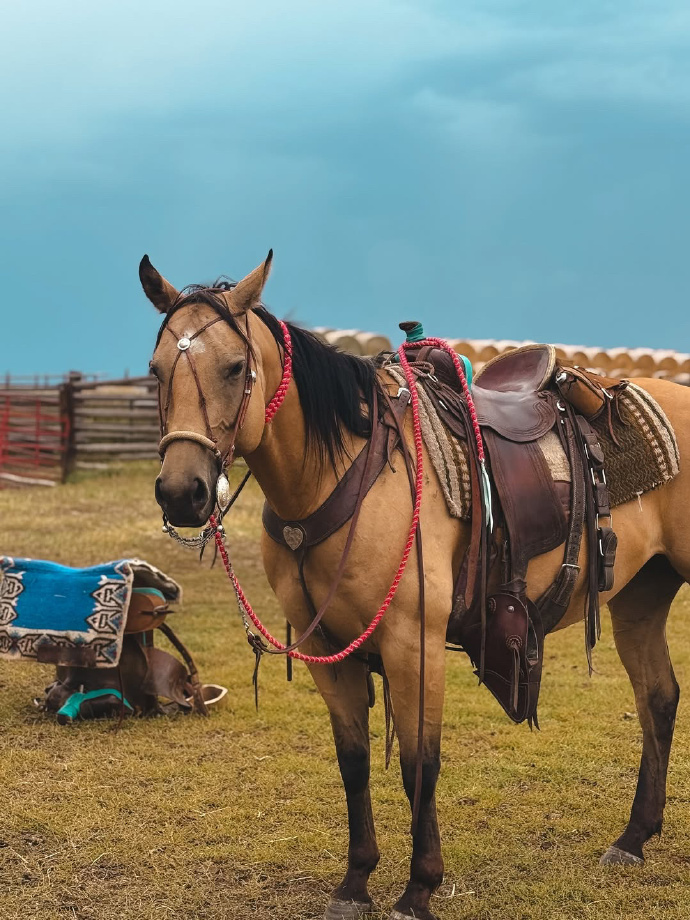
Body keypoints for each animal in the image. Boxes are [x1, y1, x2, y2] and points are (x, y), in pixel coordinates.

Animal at [141, 251, 690, 920]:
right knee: (658, 699)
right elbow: (353, 761)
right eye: (155, 369)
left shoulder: (412, 642)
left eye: (234, 366)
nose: (182, 492)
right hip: (641, 596)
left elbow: (418, 764)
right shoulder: (328, 647)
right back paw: (633, 838)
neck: (343, 473)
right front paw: (355, 882)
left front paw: (418, 888)